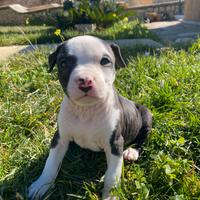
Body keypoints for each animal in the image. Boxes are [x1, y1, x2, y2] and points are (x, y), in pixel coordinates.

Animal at [28, 35, 152, 199]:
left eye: (105, 61)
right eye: (63, 63)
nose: (85, 80)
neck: (86, 110)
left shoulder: (115, 143)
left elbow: (113, 174)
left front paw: (110, 195)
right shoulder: (60, 138)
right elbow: (51, 163)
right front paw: (41, 185)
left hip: (146, 116)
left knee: (142, 140)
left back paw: (132, 152)